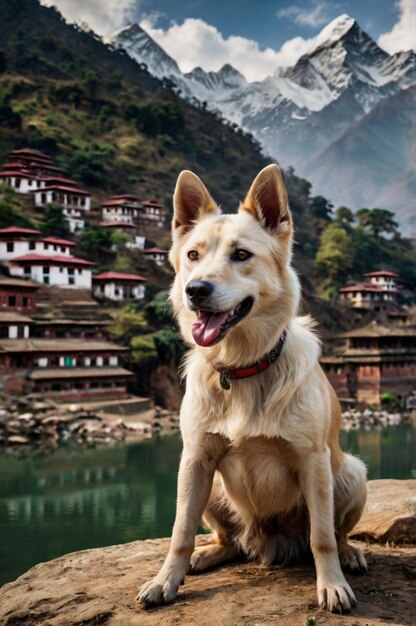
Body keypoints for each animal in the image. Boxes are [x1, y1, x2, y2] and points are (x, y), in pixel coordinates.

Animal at [138, 163, 366, 612]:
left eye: (241, 255)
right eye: (193, 256)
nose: (195, 290)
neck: (242, 368)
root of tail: (267, 540)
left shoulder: (313, 460)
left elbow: (322, 537)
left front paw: (331, 584)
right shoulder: (194, 459)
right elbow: (179, 533)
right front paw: (165, 580)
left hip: (351, 473)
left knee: (336, 532)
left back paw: (349, 554)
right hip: (210, 489)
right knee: (230, 540)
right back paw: (209, 554)